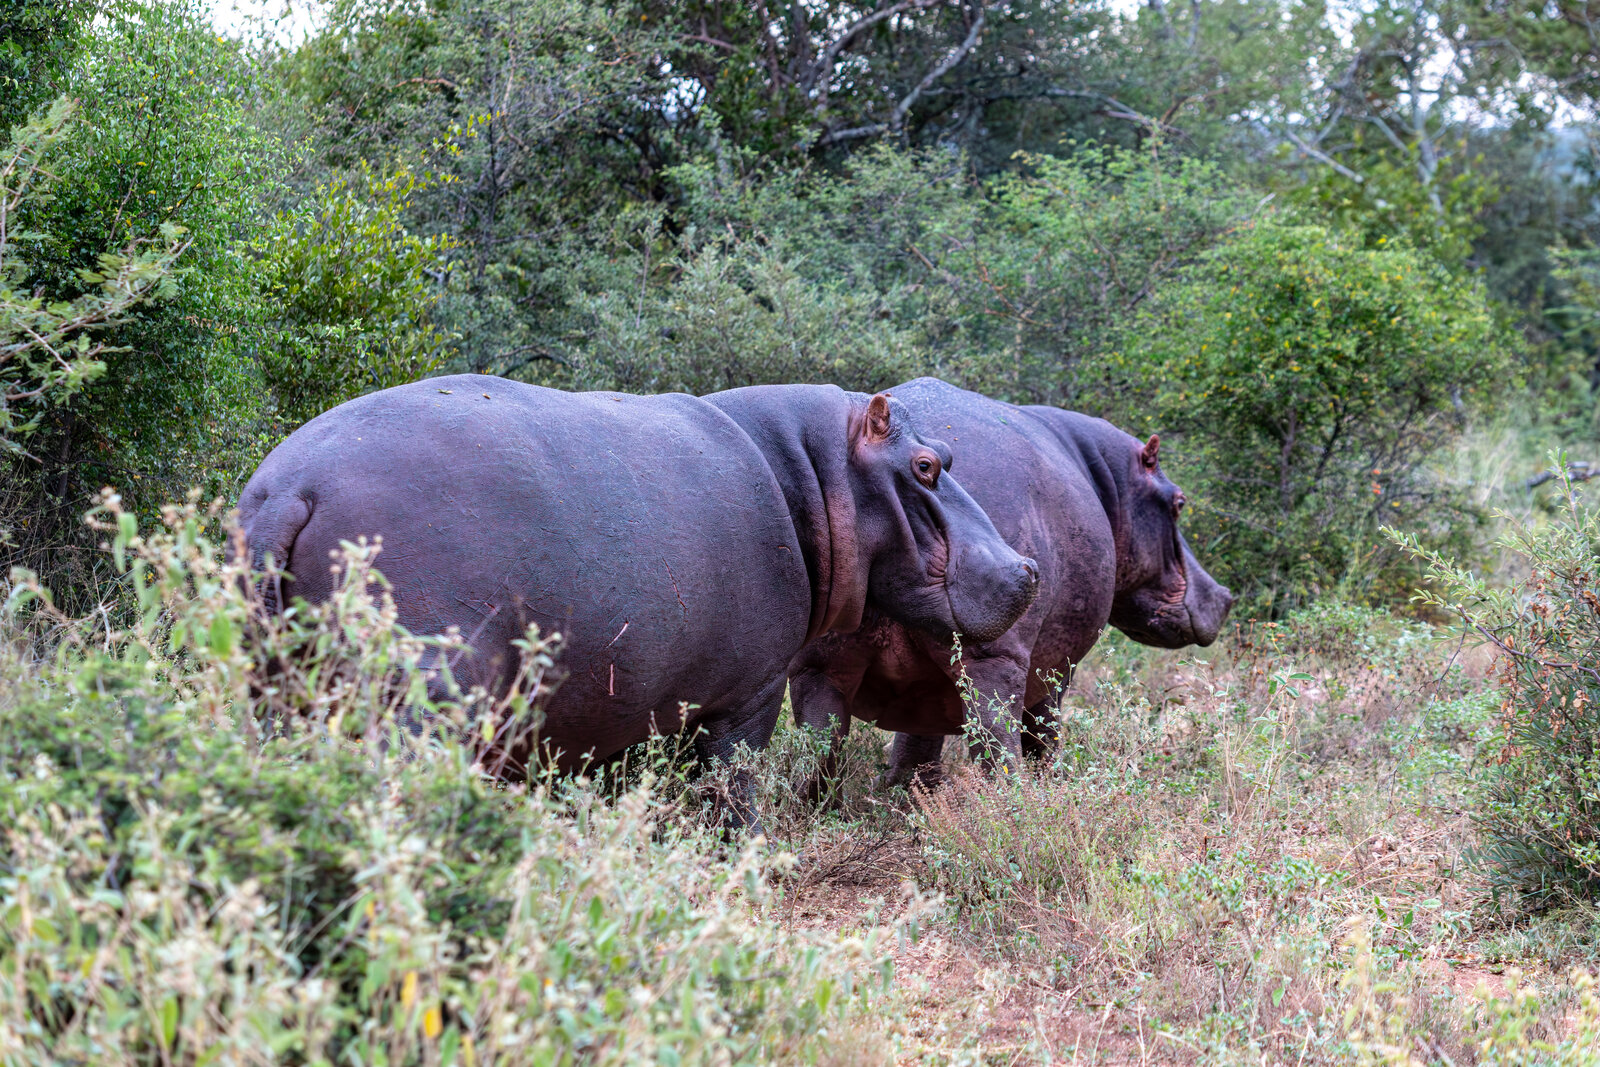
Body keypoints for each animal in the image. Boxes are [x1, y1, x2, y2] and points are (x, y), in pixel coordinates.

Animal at [238, 374, 1039, 819]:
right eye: (927, 464)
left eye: (950, 454)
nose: (1028, 568)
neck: (814, 473)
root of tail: (292, 486)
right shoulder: (748, 694)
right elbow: (733, 792)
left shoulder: (629, 708)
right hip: (430, 692)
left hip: (274, 688)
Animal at [788, 377, 1234, 788]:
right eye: (1179, 502)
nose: (1225, 595)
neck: (1110, 477)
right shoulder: (1054, 669)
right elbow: (1043, 729)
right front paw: (1050, 781)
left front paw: (910, 791)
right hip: (996, 657)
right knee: (998, 743)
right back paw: (1012, 802)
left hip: (821, 663)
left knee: (821, 746)